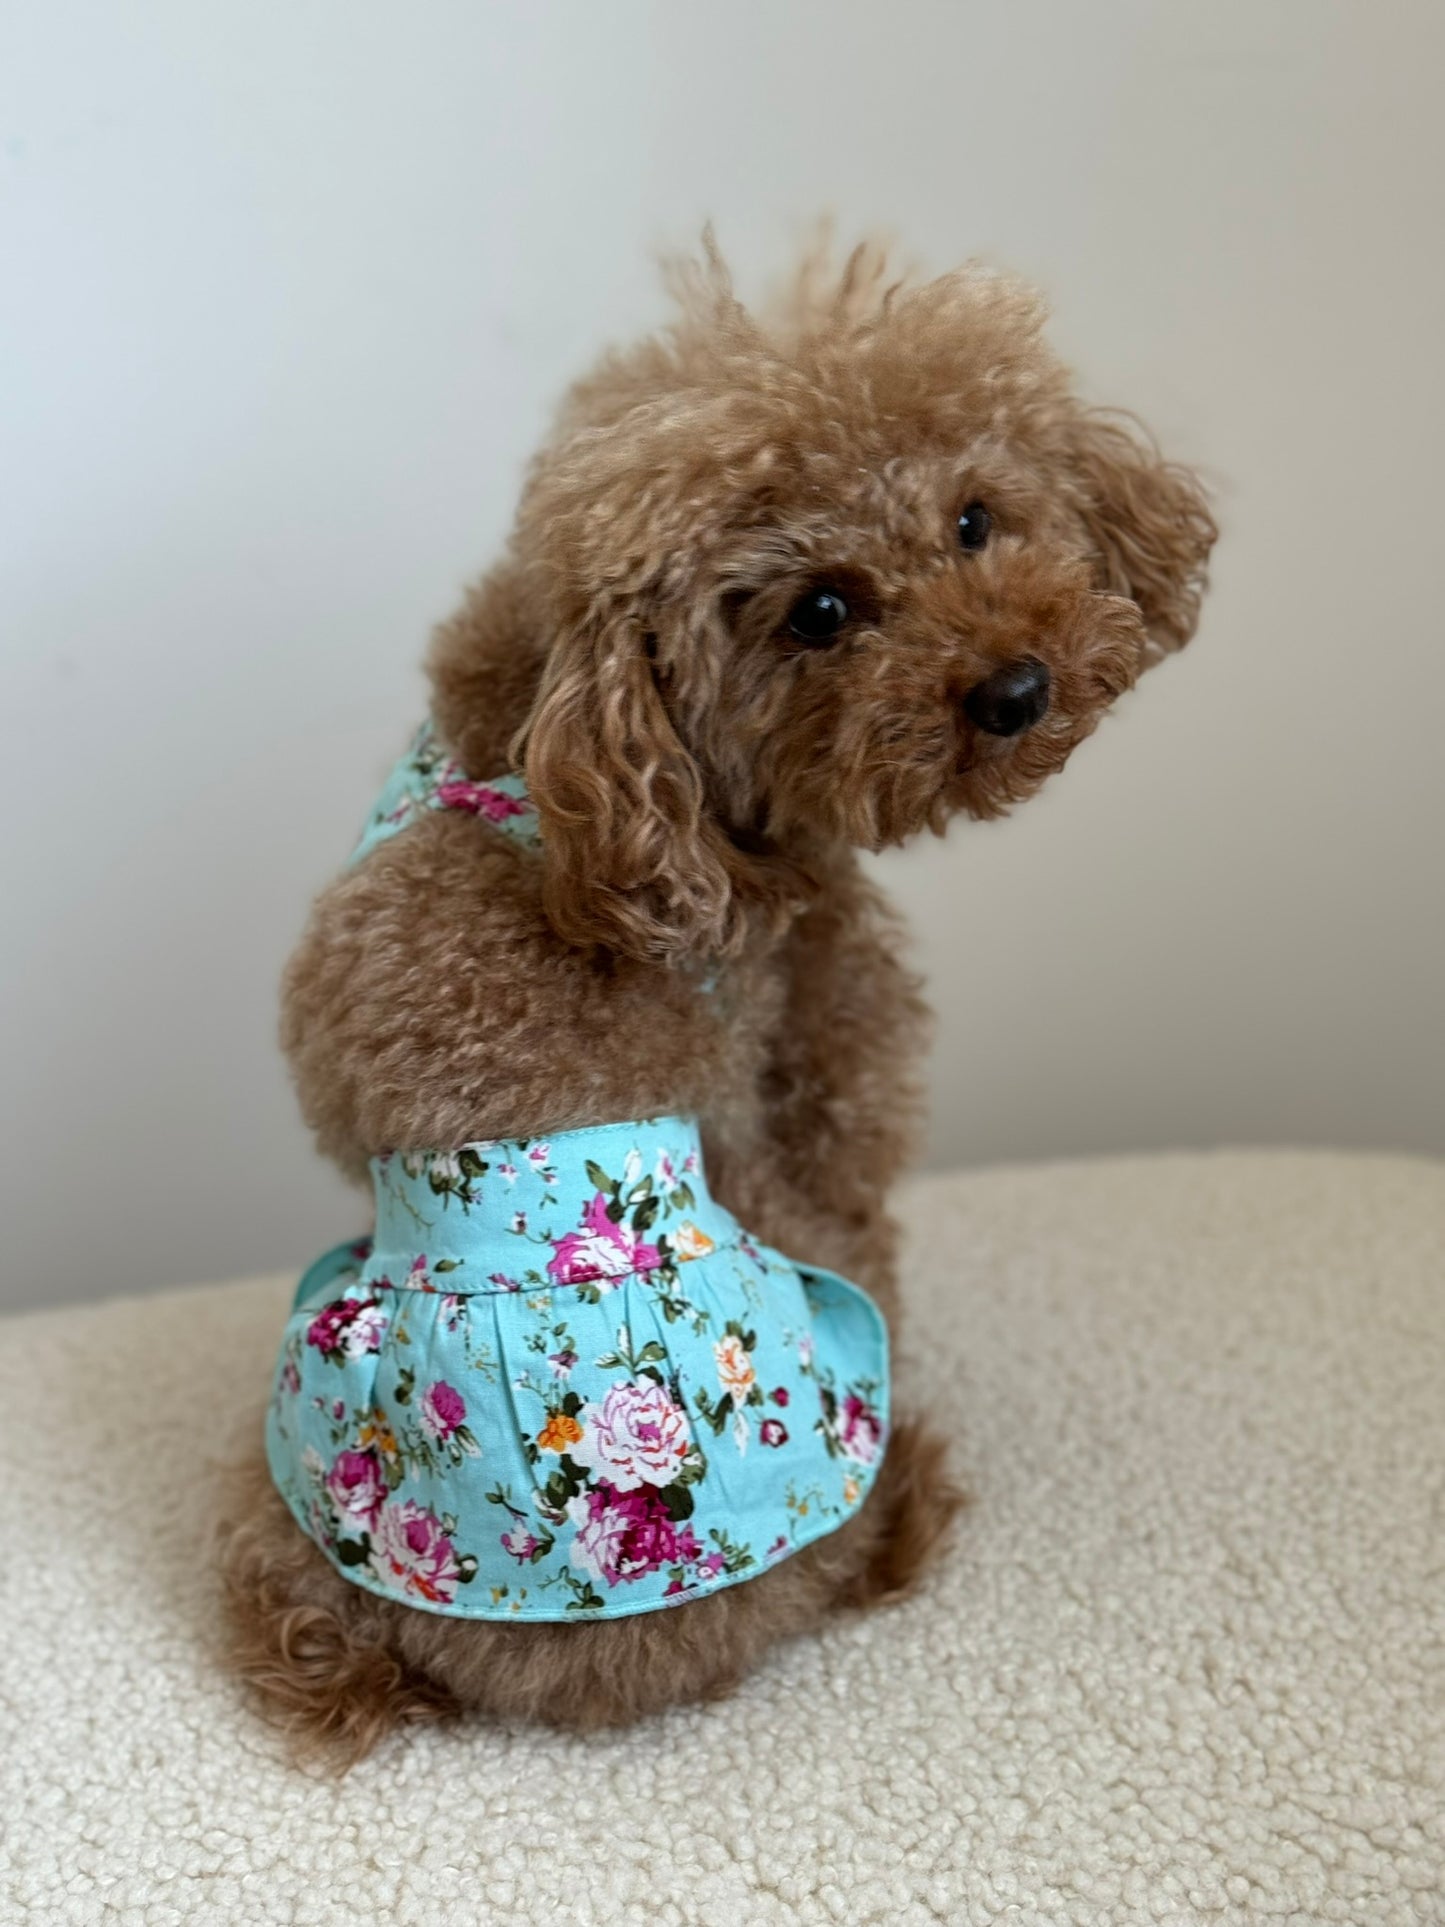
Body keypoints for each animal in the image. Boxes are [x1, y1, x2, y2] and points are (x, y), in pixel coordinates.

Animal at [220, 233, 1217, 1757]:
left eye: (975, 519)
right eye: (820, 611)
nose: (1014, 687)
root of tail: (425, 1647)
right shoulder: (799, 1071)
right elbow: (854, 1193)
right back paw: (910, 1499)